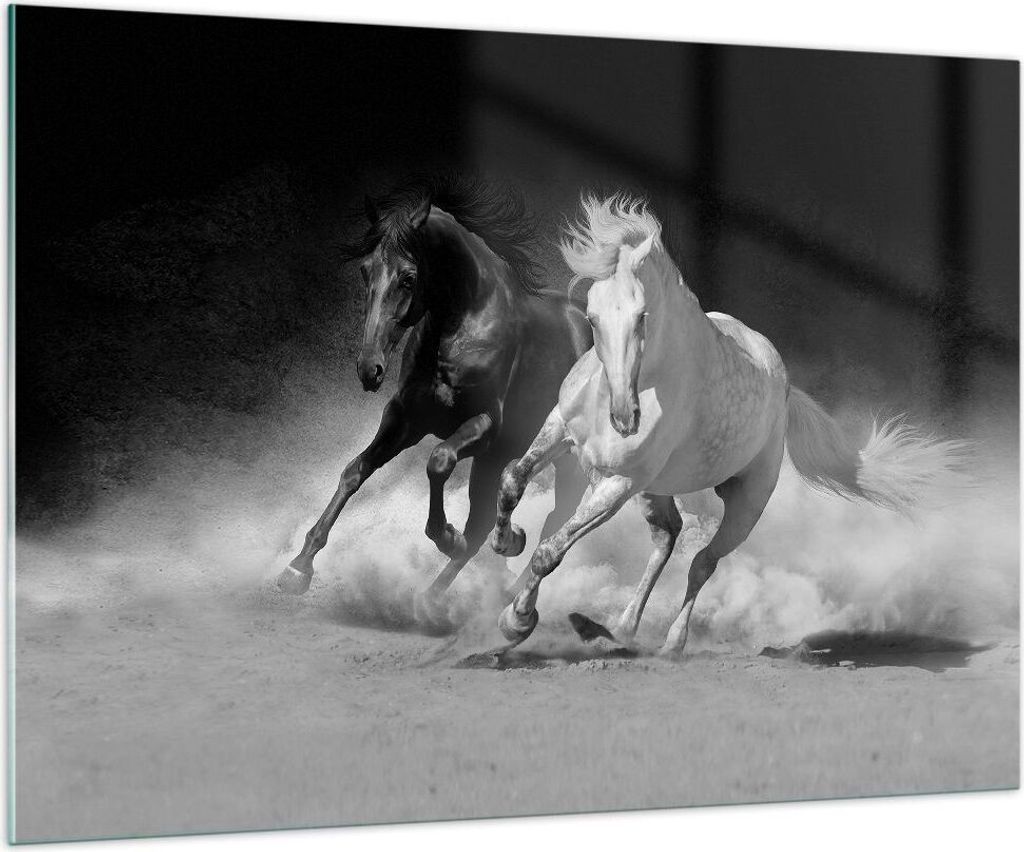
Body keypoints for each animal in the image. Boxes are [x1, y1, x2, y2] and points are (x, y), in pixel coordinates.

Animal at [277, 176, 591, 608]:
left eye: (408, 277)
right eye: (365, 272)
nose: (369, 369)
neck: (463, 326)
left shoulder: (485, 427)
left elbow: (439, 461)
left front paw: (447, 536)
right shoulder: (406, 418)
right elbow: (355, 471)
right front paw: (298, 566)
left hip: (558, 458)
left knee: (548, 519)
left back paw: (493, 586)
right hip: (501, 458)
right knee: (489, 522)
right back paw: (454, 591)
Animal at [488, 194, 965, 657]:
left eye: (642, 316)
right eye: (592, 317)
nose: (625, 418)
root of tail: (784, 389)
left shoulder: (618, 483)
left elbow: (551, 550)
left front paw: (516, 621)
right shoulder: (559, 429)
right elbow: (512, 478)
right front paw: (507, 541)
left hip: (746, 501)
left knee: (702, 561)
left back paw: (668, 642)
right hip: (656, 488)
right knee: (667, 536)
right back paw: (618, 629)